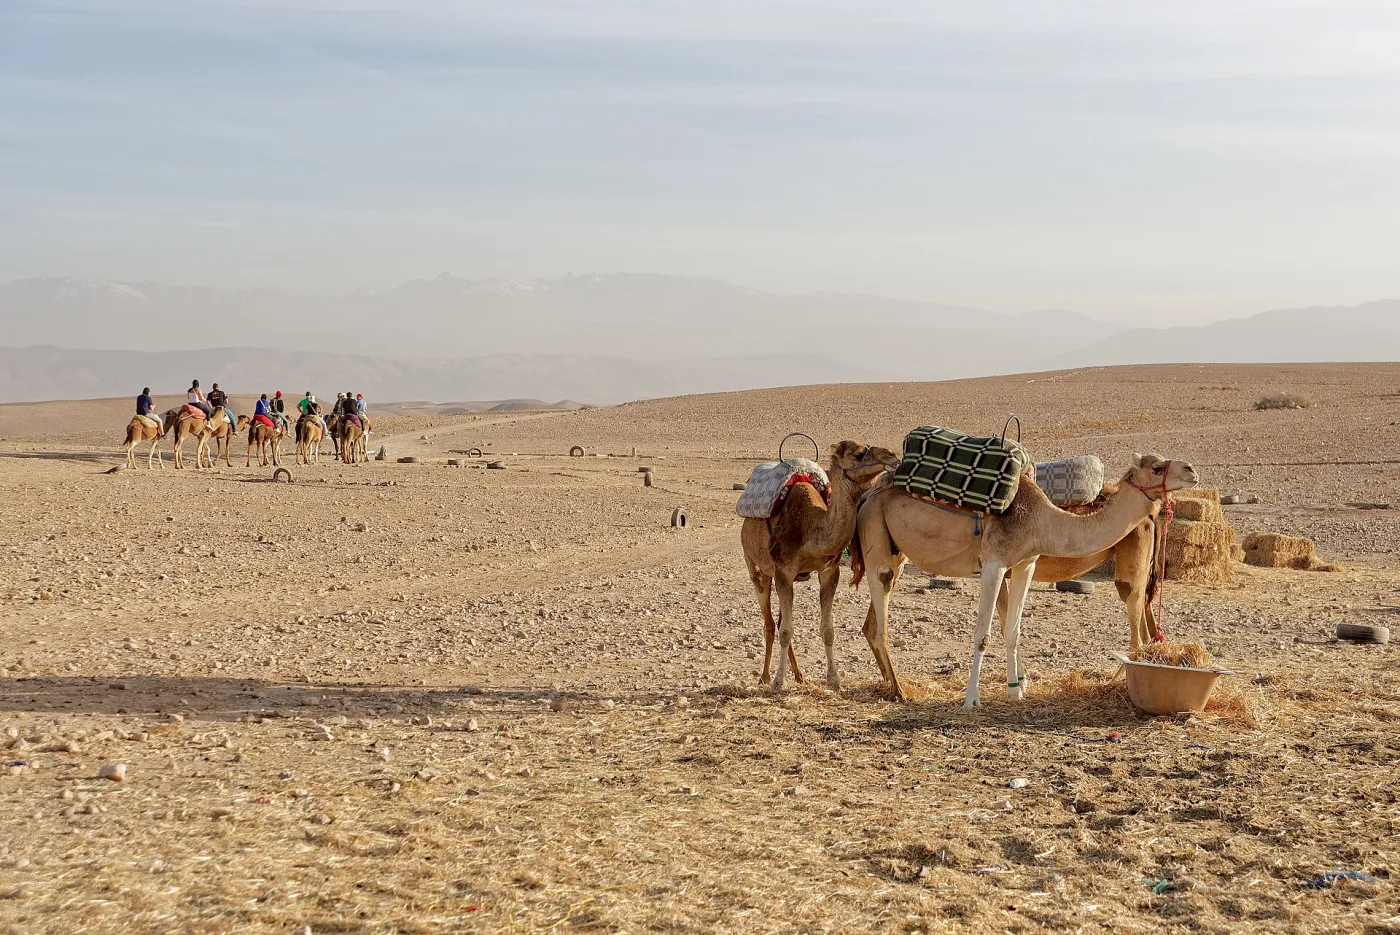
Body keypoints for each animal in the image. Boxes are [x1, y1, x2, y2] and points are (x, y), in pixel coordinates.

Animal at [740, 440, 899, 694]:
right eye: (858, 454)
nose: (892, 455)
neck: (811, 529)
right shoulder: (783, 572)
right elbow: (785, 631)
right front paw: (778, 682)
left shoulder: (828, 572)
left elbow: (827, 630)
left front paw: (834, 680)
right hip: (756, 568)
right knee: (769, 623)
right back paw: (765, 677)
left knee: (779, 620)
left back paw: (799, 675)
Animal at [851, 453, 1197, 706]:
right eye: (1156, 467)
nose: (1191, 470)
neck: (1042, 519)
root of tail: (869, 494)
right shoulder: (994, 563)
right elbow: (983, 634)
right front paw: (972, 698)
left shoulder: (1025, 564)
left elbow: (1013, 630)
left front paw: (1016, 690)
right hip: (876, 534)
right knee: (879, 617)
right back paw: (899, 691)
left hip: (896, 552)